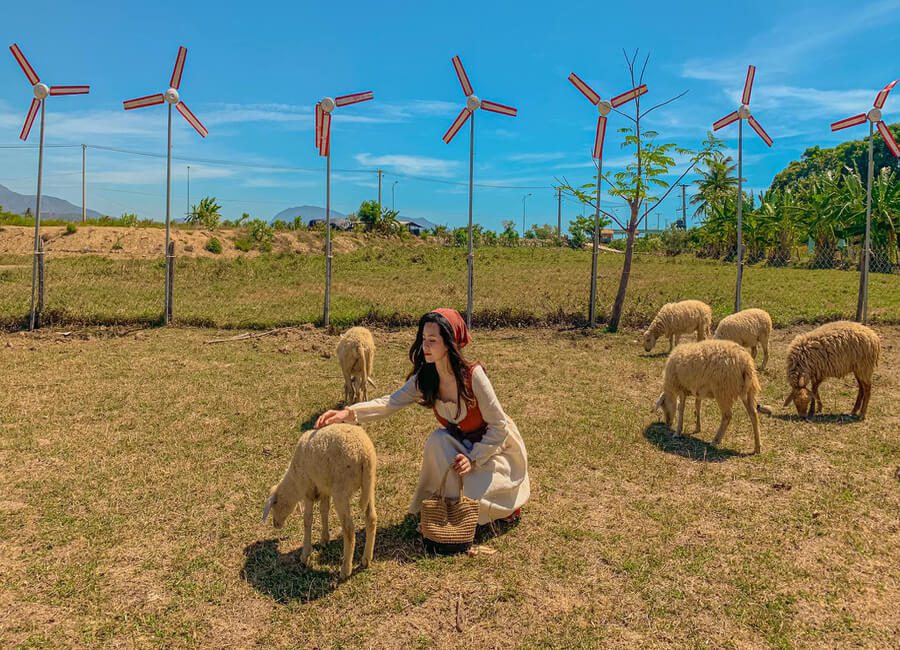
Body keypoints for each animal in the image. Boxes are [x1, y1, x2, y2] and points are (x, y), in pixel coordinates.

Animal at [260, 422, 376, 580]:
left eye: (275, 505)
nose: (275, 525)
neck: (295, 483)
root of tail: (364, 454)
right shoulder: (324, 488)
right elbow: (324, 510)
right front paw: (324, 539)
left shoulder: (308, 490)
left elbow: (307, 520)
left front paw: (305, 554)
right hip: (369, 485)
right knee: (371, 518)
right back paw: (366, 559)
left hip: (341, 490)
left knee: (349, 530)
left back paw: (346, 569)